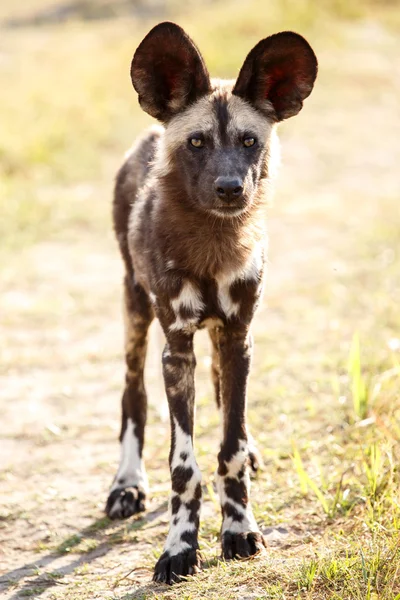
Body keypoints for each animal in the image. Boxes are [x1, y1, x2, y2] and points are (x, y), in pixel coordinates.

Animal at [106, 23, 318, 584]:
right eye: (197, 142)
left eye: (250, 141)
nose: (229, 188)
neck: (211, 245)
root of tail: (149, 131)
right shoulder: (176, 349)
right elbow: (184, 466)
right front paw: (180, 548)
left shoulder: (239, 335)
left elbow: (230, 448)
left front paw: (239, 529)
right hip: (136, 315)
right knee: (132, 397)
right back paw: (126, 485)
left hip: (226, 339)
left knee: (225, 400)